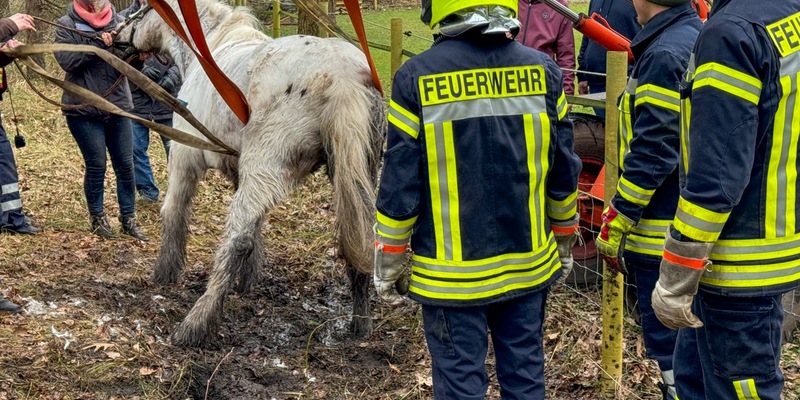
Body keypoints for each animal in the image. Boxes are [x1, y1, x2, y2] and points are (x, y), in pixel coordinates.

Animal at [116, 0, 386, 347]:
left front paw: (166, 273)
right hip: (358, 172)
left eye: (137, 8)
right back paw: (361, 321)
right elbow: (256, 227)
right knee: (363, 235)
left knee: (236, 239)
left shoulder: (184, 156)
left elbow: (175, 211)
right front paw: (248, 280)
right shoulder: (238, 170)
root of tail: (342, 75)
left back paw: (195, 324)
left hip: (264, 165)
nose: (114, 35)